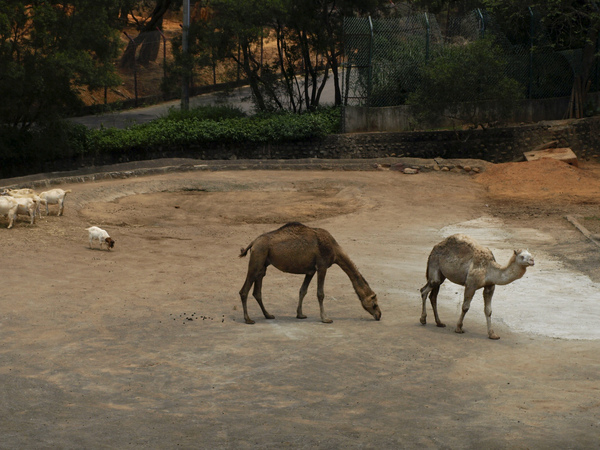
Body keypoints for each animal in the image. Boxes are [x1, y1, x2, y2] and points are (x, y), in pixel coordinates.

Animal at [238, 223, 382, 326]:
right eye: (374, 303)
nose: (379, 315)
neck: (335, 250)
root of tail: (253, 242)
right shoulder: (322, 266)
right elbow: (320, 293)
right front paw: (326, 319)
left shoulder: (310, 271)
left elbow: (303, 291)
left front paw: (300, 315)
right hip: (258, 257)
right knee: (244, 290)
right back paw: (248, 319)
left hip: (263, 263)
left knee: (257, 291)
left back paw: (268, 315)